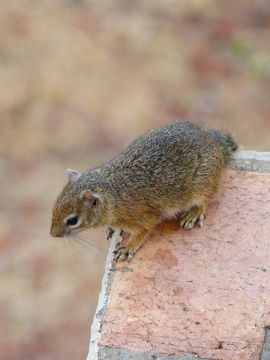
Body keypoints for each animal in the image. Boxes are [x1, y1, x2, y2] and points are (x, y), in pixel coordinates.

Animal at [49, 121, 237, 262]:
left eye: (72, 220)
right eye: (54, 207)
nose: (53, 234)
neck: (113, 194)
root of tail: (213, 141)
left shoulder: (142, 216)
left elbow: (142, 232)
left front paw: (127, 248)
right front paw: (111, 229)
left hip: (202, 186)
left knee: (205, 200)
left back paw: (194, 214)